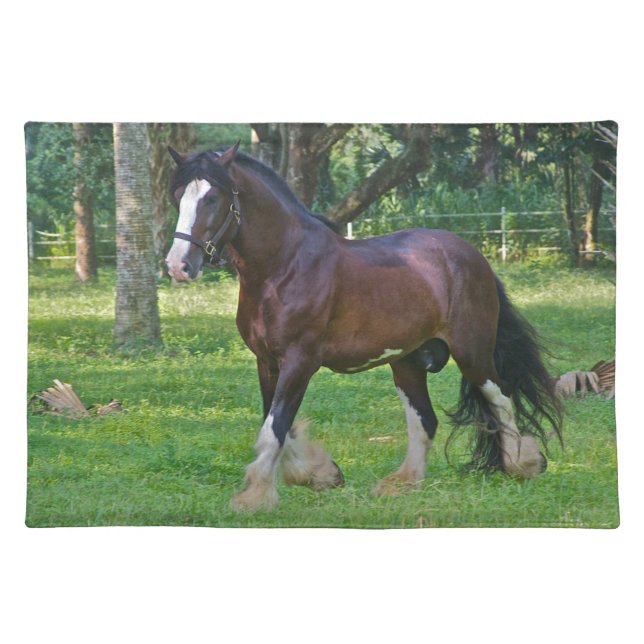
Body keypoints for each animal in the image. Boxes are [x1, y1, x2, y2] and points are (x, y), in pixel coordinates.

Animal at [164, 142, 563, 511]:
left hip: (472, 352)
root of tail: (471, 255)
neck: (285, 267)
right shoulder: (268, 362)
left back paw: (523, 464)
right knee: (426, 420)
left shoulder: (299, 362)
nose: (178, 266)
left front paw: (255, 496)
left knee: (500, 397)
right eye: (178, 197)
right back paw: (403, 482)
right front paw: (320, 474)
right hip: (407, 362)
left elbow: (274, 427)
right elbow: (277, 423)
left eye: (212, 197)